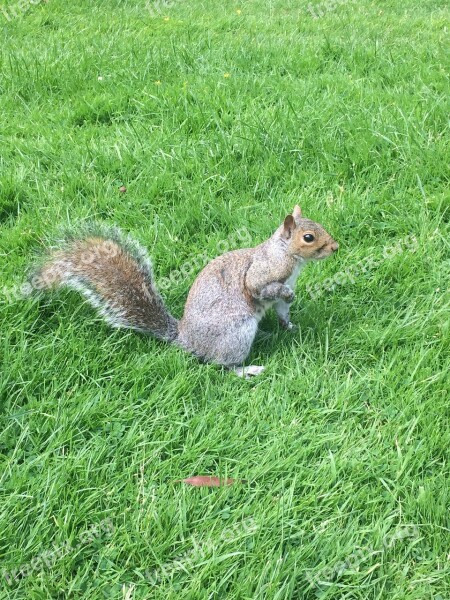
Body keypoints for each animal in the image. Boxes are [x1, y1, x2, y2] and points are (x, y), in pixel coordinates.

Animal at [33, 206, 338, 376]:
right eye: (308, 238)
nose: (335, 247)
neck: (287, 255)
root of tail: (185, 340)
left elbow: (282, 310)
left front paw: (290, 326)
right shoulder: (263, 273)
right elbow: (260, 288)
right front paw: (286, 297)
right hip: (235, 334)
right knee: (221, 365)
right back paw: (247, 369)